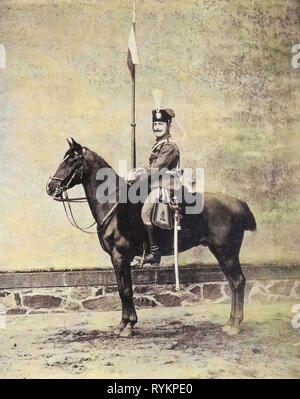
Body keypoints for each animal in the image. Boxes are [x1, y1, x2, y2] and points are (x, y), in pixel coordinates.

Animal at [46, 138, 255, 338]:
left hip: (226, 252)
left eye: (70, 161)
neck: (113, 205)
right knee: (232, 282)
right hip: (220, 252)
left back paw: (235, 325)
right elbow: (124, 289)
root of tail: (240, 202)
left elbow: (125, 290)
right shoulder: (121, 258)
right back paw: (231, 321)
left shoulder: (119, 256)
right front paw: (123, 324)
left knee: (238, 281)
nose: (50, 187)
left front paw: (128, 326)